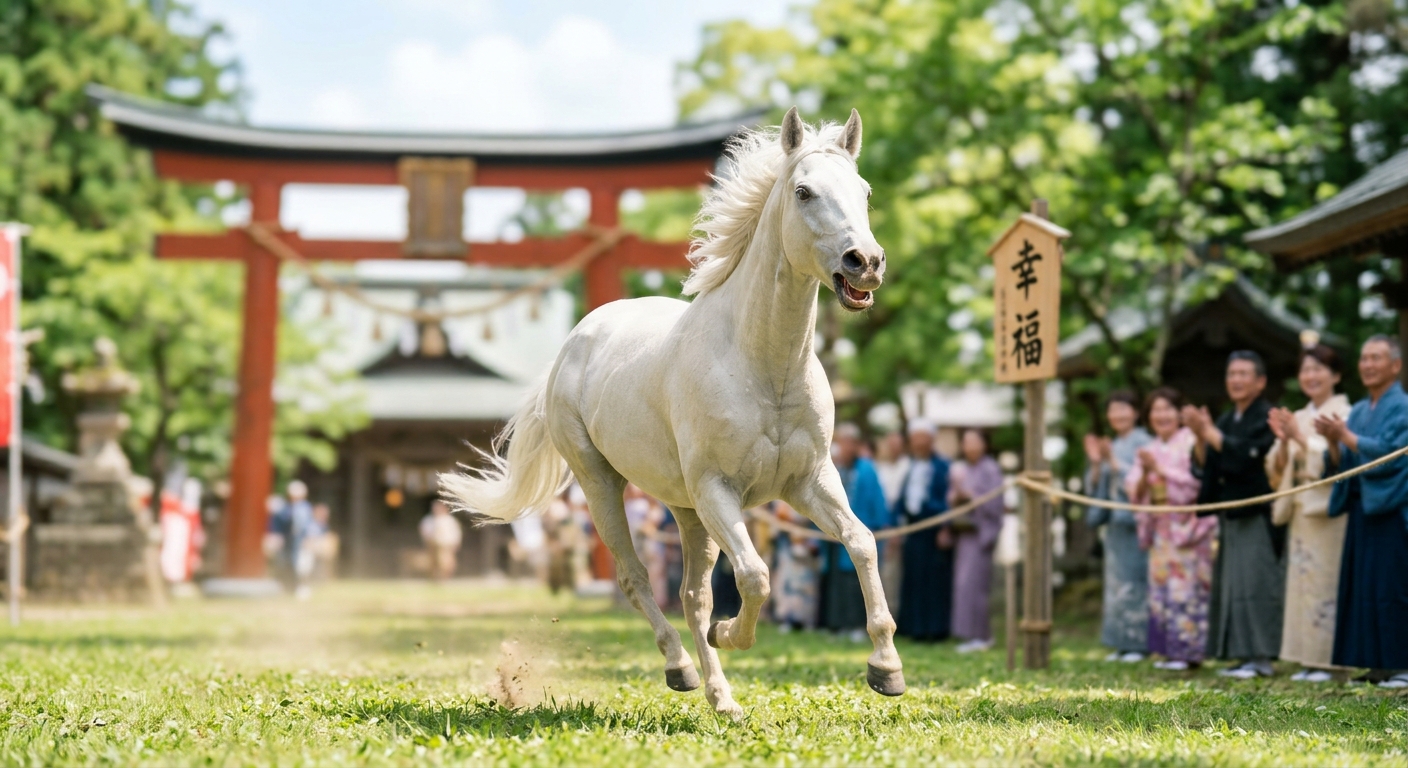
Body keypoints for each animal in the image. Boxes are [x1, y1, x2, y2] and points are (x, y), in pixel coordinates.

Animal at [440, 107, 900, 718]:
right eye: (803, 192)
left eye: (865, 191)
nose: (865, 263)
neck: (764, 367)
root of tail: (573, 343)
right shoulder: (718, 489)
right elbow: (755, 575)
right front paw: (732, 634)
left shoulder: (810, 481)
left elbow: (862, 542)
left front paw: (886, 668)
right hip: (605, 485)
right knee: (638, 579)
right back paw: (683, 669)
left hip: (685, 510)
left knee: (692, 593)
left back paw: (720, 696)